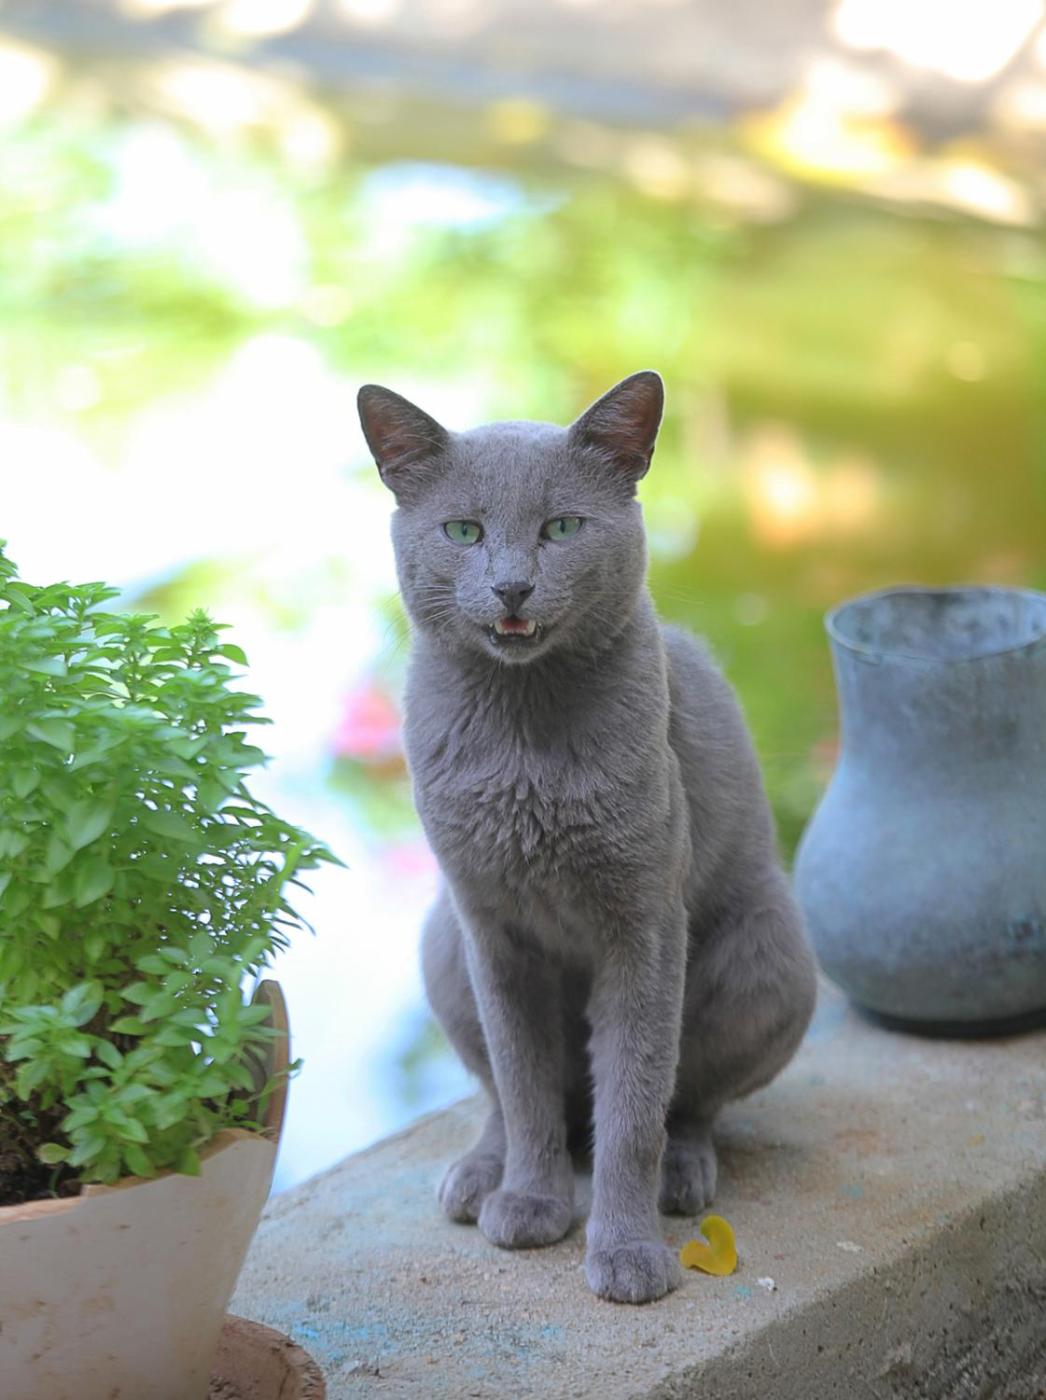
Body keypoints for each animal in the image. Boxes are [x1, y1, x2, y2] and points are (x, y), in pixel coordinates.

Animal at [357, 371, 817, 1304]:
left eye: (562, 528)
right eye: (464, 531)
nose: (511, 587)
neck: (523, 745)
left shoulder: (644, 923)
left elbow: (634, 1104)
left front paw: (626, 1251)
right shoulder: (492, 928)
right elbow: (523, 1082)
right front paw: (532, 1203)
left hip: (770, 952)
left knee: (688, 1102)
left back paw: (682, 1174)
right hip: (441, 943)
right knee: (508, 1097)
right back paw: (479, 1175)